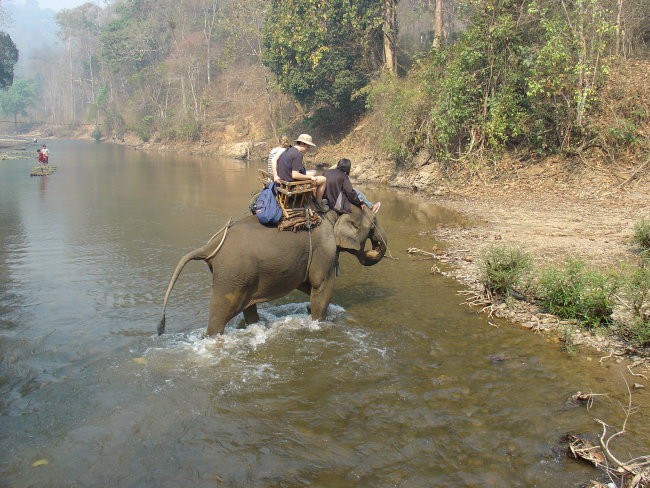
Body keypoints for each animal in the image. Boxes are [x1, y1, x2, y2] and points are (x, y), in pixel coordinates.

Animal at [159, 204, 388, 338]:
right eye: (373, 224)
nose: (375, 248)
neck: (332, 213)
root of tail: (210, 246)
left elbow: (306, 285)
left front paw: (309, 309)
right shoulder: (324, 248)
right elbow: (321, 286)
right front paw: (318, 322)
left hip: (243, 277)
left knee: (248, 307)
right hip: (231, 275)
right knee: (220, 314)